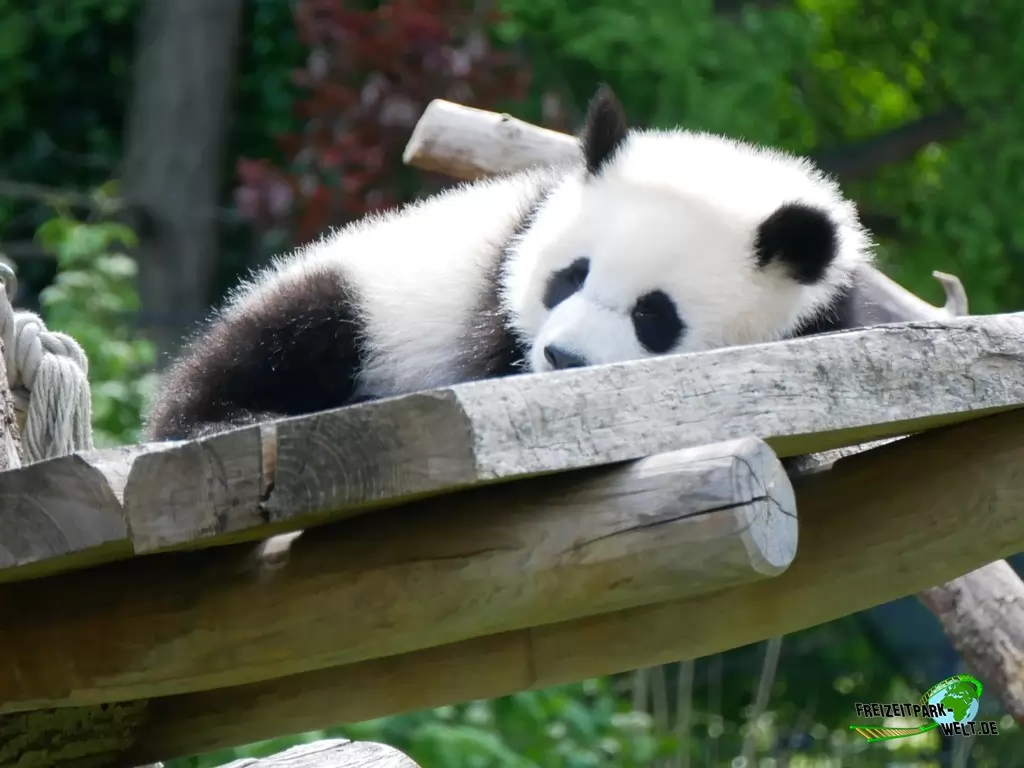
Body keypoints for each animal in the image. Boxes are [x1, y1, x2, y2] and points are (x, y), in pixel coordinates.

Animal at [145, 85, 875, 442]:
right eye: (570, 277)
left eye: (654, 315)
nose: (564, 360)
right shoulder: (496, 289)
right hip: (358, 294)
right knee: (285, 334)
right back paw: (230, 417)